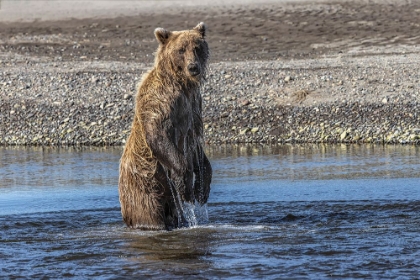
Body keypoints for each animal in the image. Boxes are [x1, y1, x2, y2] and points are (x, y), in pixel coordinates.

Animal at [118, 23, 212, 230]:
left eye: (197, 47)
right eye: (181, 50)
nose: (193, 67)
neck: (182, 83)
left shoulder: (193, 107)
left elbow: (196, 147)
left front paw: (201, 189)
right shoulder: (161, 100)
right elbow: (158, 134)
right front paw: (186, 186)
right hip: (145, 186)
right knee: (148, 212)